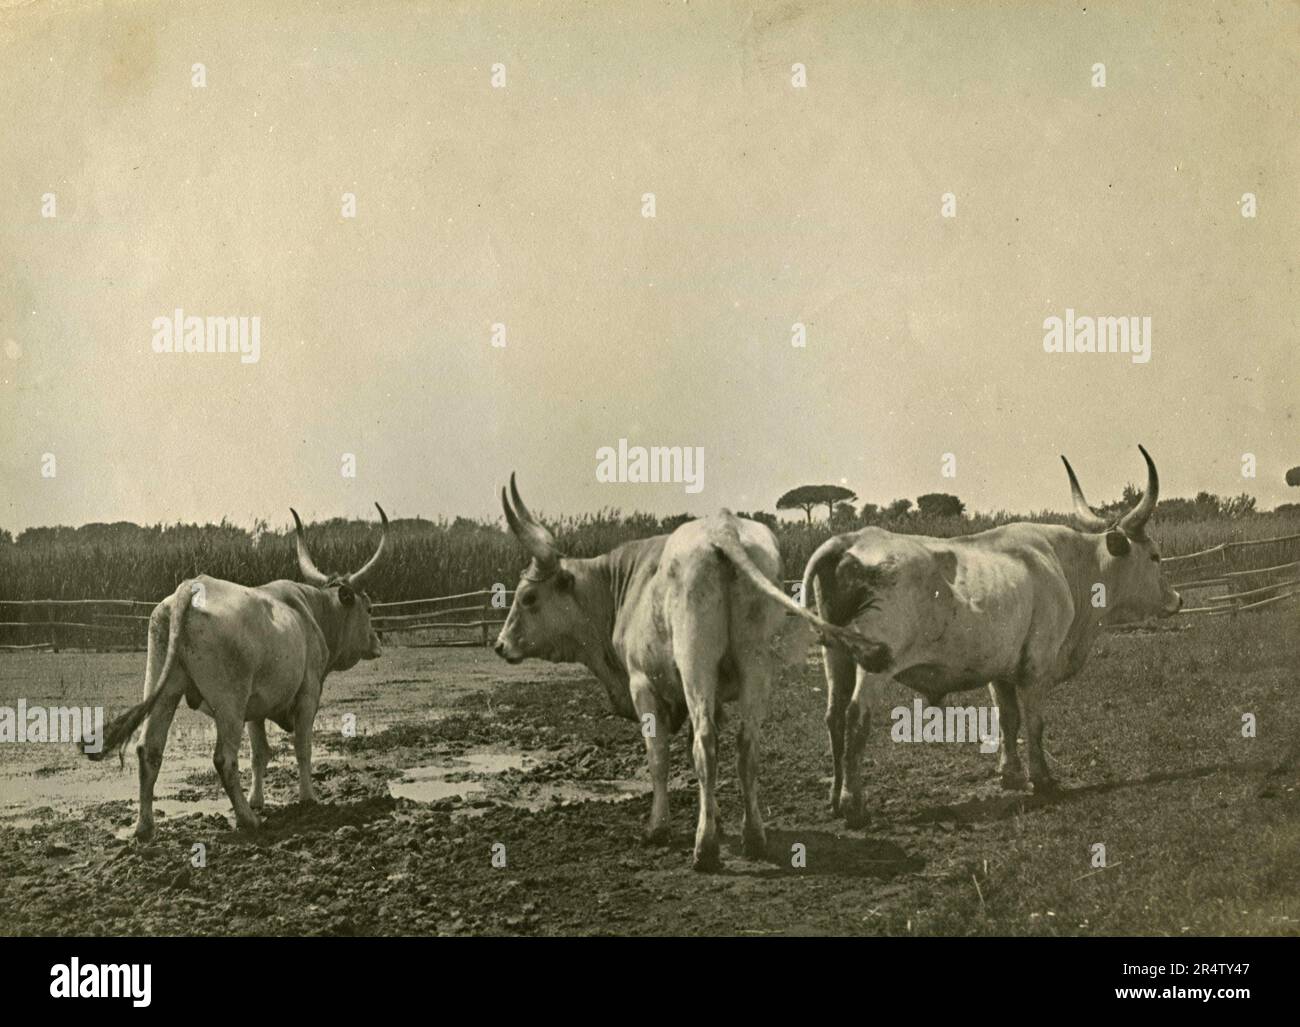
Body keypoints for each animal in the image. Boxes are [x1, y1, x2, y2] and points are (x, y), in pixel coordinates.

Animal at [84, 501, 387, 842]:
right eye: (369, 608)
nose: (377, 643)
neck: (309, 611)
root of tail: (189, 588)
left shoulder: (256, 707)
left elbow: (259, 754)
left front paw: (258, 800)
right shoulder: (308, 695)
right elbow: (302, 747)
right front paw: (307, 798)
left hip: (164, 689)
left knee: (149, 750)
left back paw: (145, 827)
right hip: (230, 703)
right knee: (224, 758)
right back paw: (246, 820)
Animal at [491, 475, 889, 868]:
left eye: (528, 598)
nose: (500, 645)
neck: (628, 585)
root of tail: (723, 527)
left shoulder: (644, 685)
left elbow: (659, 757)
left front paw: (658, 828)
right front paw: (717, 818)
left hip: (696, 662)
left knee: (706, 744)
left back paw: (705, 849)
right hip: (755, 665)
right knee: (747, 746)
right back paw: (753, 837)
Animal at [800, 447, 1180, 826]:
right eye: (1155, 556)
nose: (1176, 599)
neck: (1064, 565)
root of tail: (850, 539)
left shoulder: (1002, 667)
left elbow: (1008, 718)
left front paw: (1010, 775)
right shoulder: (1036, 666)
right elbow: (1034, 721)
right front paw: (1043, 779)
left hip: (836, 655)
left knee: (834, 715)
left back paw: (834, 799)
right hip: (877, 661)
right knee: (856, 716)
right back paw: (854, 805)